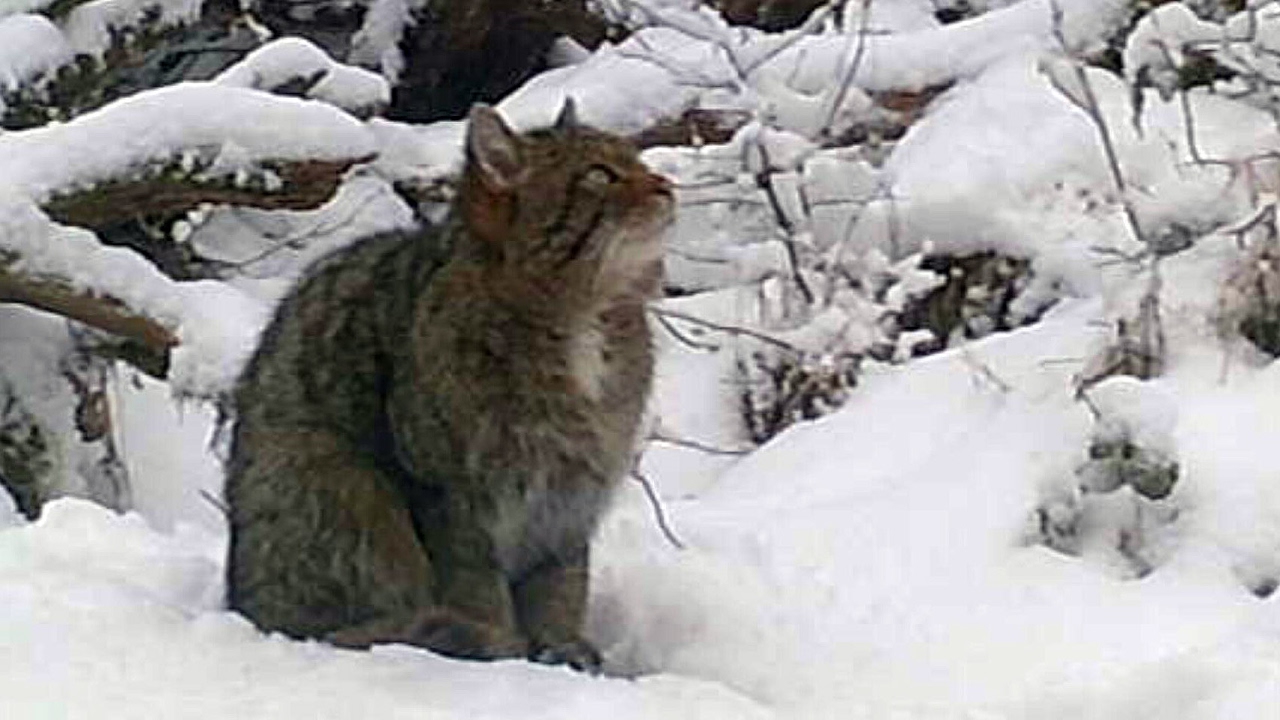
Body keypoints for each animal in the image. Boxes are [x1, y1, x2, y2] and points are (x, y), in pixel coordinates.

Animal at [224, 98, 675, 671]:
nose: (665, 184)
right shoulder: (454, 497)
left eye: (637, 160)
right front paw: (504, 650)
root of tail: (242, 604)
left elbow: (561, 587)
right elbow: (476, 590)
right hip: (333, 475)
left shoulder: (568, 501)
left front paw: (560, 646)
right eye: (599, 175)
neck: (582, 320)